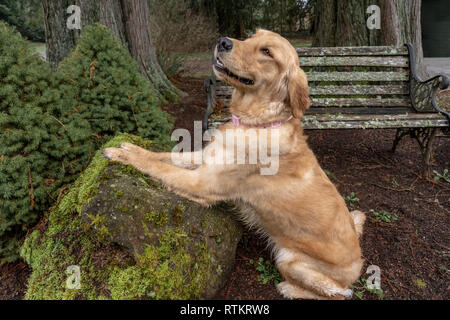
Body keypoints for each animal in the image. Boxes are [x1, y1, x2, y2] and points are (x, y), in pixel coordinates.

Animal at [104, 29, 366, 300]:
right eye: (251, 36)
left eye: (266, 51)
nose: (223, 42)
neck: (256, 122)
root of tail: (359, 258)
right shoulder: (205, 159)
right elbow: (163, 156)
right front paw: (131, 148)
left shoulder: (202, 184)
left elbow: (161, 168)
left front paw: (119, 154)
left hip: (290, 260)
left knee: (341, 294)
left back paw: (288, 288)